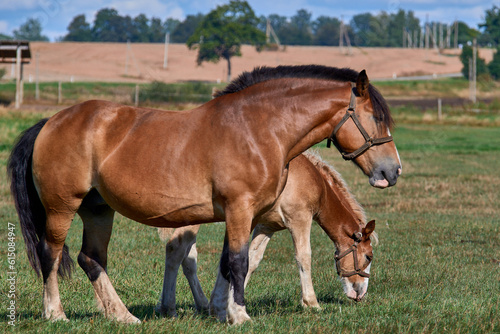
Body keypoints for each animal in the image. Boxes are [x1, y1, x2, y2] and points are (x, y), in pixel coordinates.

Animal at [156, 152, 376, 320]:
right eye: (368, 257)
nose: (361, 293)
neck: (313, 180)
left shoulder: (266, 226)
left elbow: (251, 260)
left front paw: (231, 303)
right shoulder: (300, 219)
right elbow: (304, 257)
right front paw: (311, 303)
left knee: (188, 258)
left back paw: (196, 305)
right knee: (176, 250)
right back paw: (169, 309)